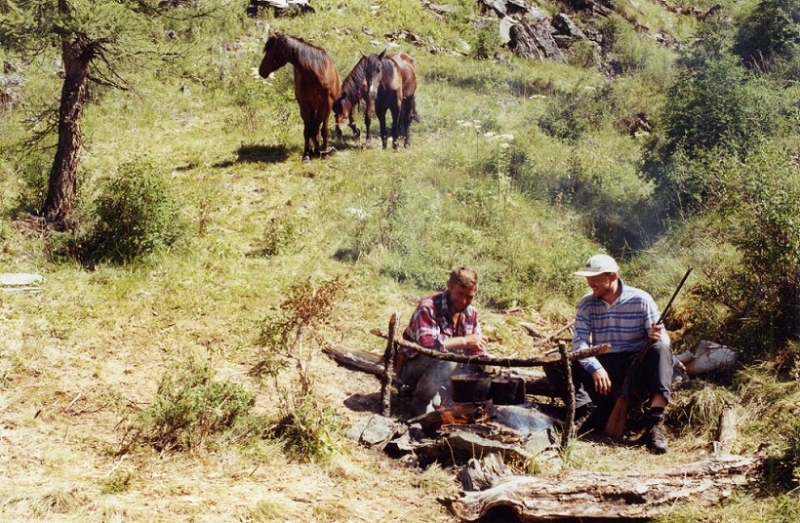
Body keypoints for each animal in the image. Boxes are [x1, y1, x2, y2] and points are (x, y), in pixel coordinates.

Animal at [260, 31, 340, 162]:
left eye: (270, 50)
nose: (261, 71)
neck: (316, 73)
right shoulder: (305, 104)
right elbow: (308, 130)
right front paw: (307, 154)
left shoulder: (327, 104)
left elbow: (323, 130)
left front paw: (325, 154)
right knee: (312, 127)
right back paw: (314, 150)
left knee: (317, 127)